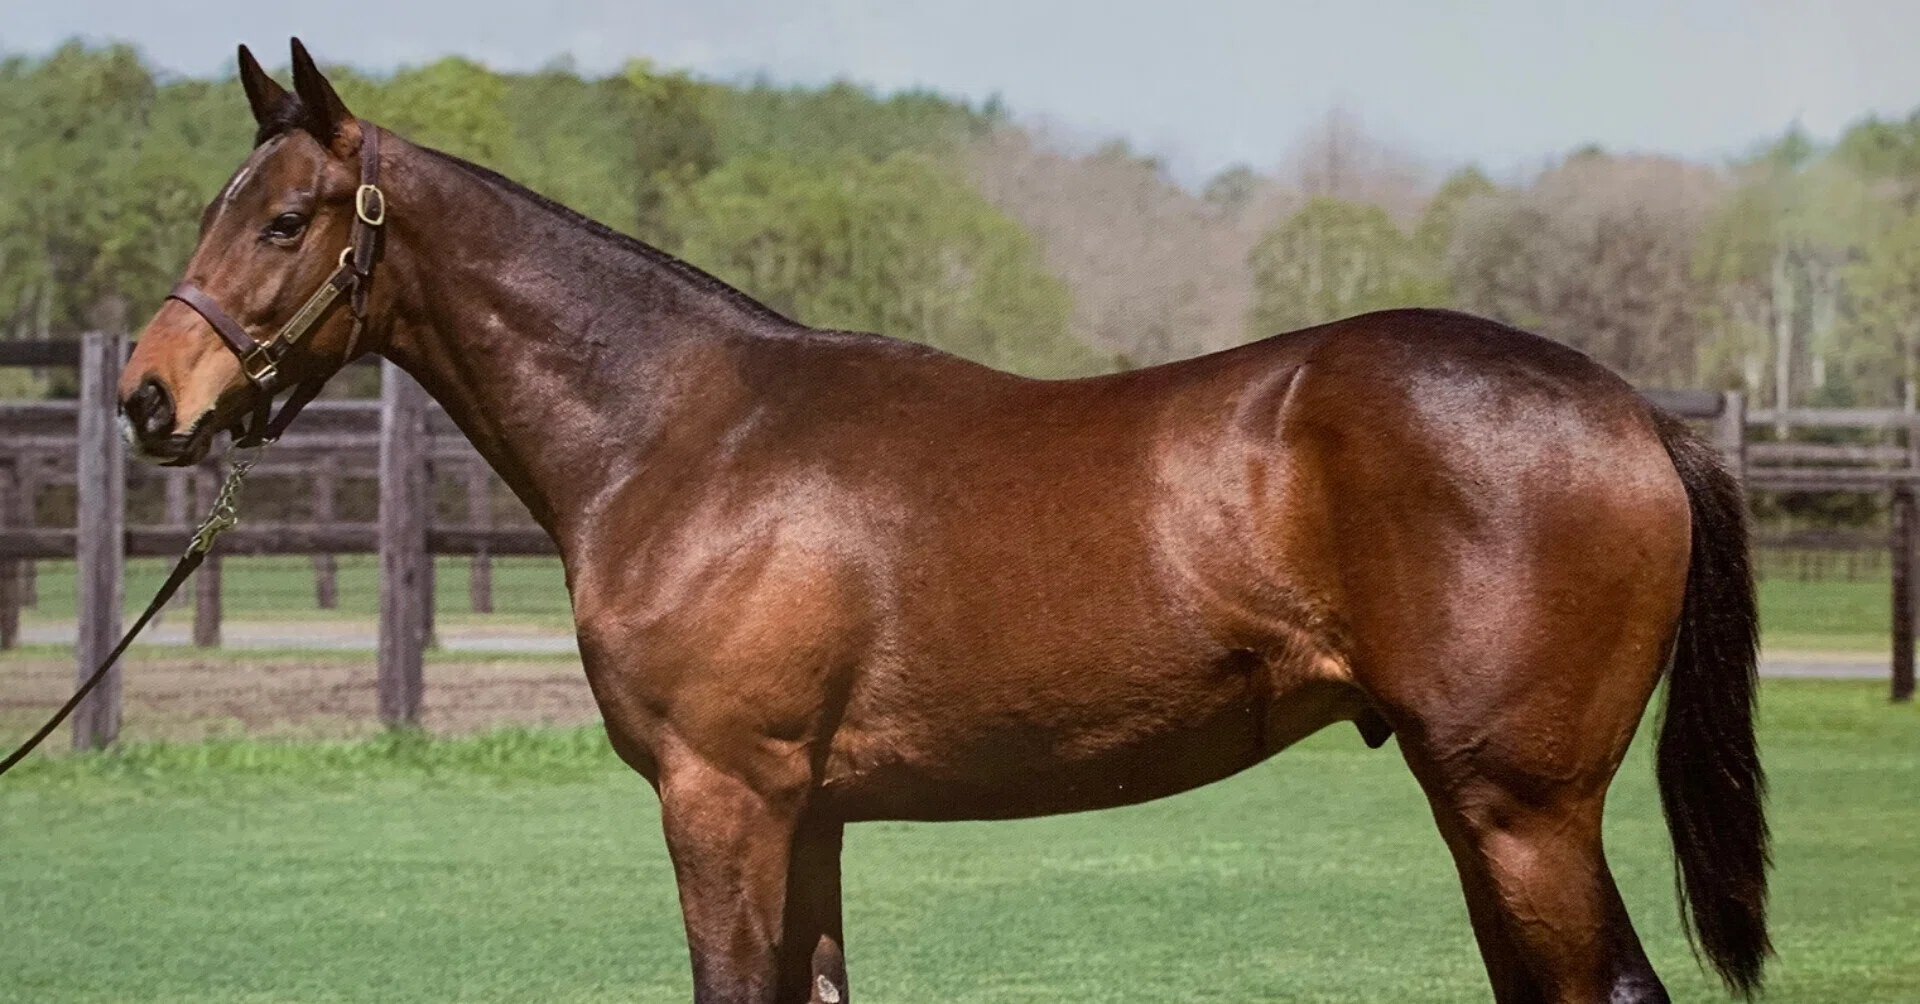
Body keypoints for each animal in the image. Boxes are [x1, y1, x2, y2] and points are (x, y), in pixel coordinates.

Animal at [117, 39, 1769, 1004]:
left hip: (1524, 811)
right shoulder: (809, 817)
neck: (687, 430)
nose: (147, 397)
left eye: (282, 220)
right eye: (216, 207)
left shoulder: (722, 801)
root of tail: (1635, 413)